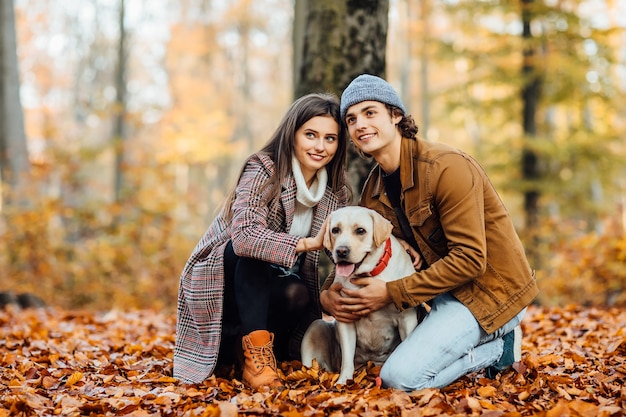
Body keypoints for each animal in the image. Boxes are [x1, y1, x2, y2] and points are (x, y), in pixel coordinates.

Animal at [300, 205, 416, 384]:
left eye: (360, 230)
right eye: (335, 230)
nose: (341, 251)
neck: (369, 275)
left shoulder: (407, 318)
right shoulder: (345, 317)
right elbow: (347, 358)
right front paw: (343, 381)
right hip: (315, 327)